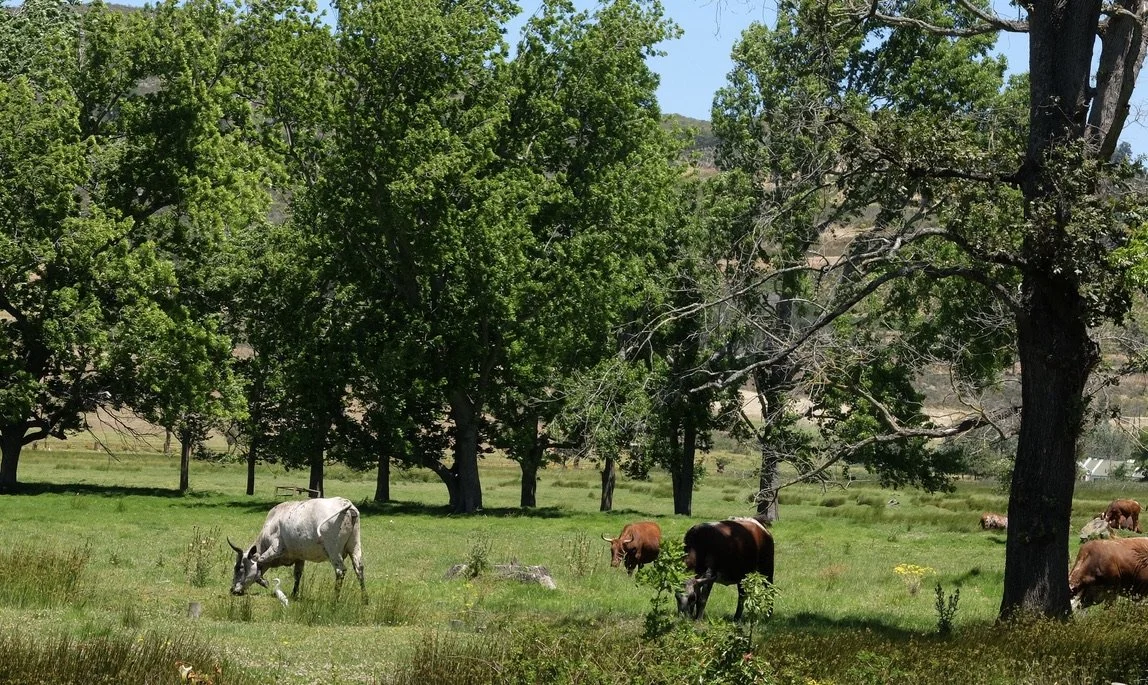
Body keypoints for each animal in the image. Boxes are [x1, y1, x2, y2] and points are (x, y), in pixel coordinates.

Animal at [229, 496, 365, 600]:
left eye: (240, 567)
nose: (232, 590)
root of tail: (345, 503)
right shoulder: (299, 557)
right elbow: (297, 574)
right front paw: (294, 594)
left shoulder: (276, 549)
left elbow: (259, 561)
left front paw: (263, 581)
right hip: (355, 546)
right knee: (359, 568)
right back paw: (365, 599)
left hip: (333, 551)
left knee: (340, 571)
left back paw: (335, 600)